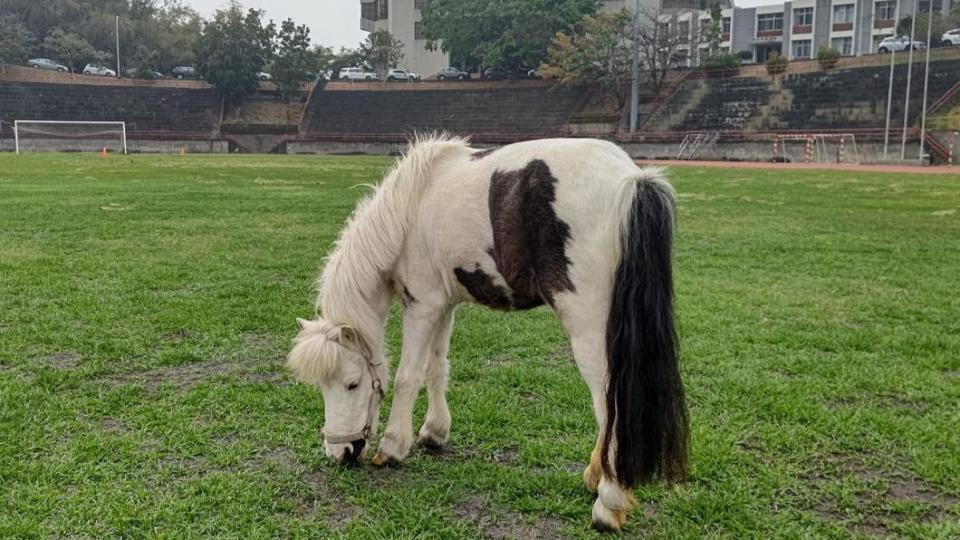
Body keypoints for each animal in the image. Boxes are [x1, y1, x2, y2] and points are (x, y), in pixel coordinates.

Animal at [286, 135, 688, 532]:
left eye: (352, 383)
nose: (339, 453)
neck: (409, 210)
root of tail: (633, 181)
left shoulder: (421, 305)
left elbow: (407, 377)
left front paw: (393, 446)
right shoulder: (443, 305)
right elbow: (436, 369)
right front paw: (434, 432)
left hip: (590, 329)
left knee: (609, 403)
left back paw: (608, 502)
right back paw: (595, 475)